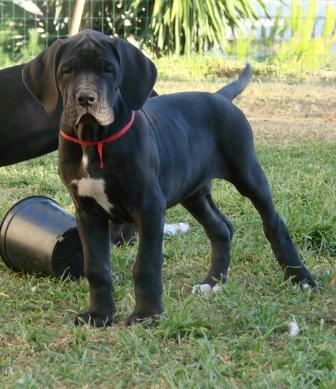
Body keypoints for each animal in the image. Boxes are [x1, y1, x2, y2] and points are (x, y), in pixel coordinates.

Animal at [22, 30, 316, 326]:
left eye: (108, 69)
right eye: (67, 70)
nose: (85, 98)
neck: (94, 140)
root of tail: (220, 96)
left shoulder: (149, 207)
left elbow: (146, 265)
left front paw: (147, 315)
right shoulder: (87, 212)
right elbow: (96, 267)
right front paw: (99, 314)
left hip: (247, 173)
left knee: (274, 223)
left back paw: (300, 278)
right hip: (193, 192)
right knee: (221, 228)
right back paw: (212, 282)